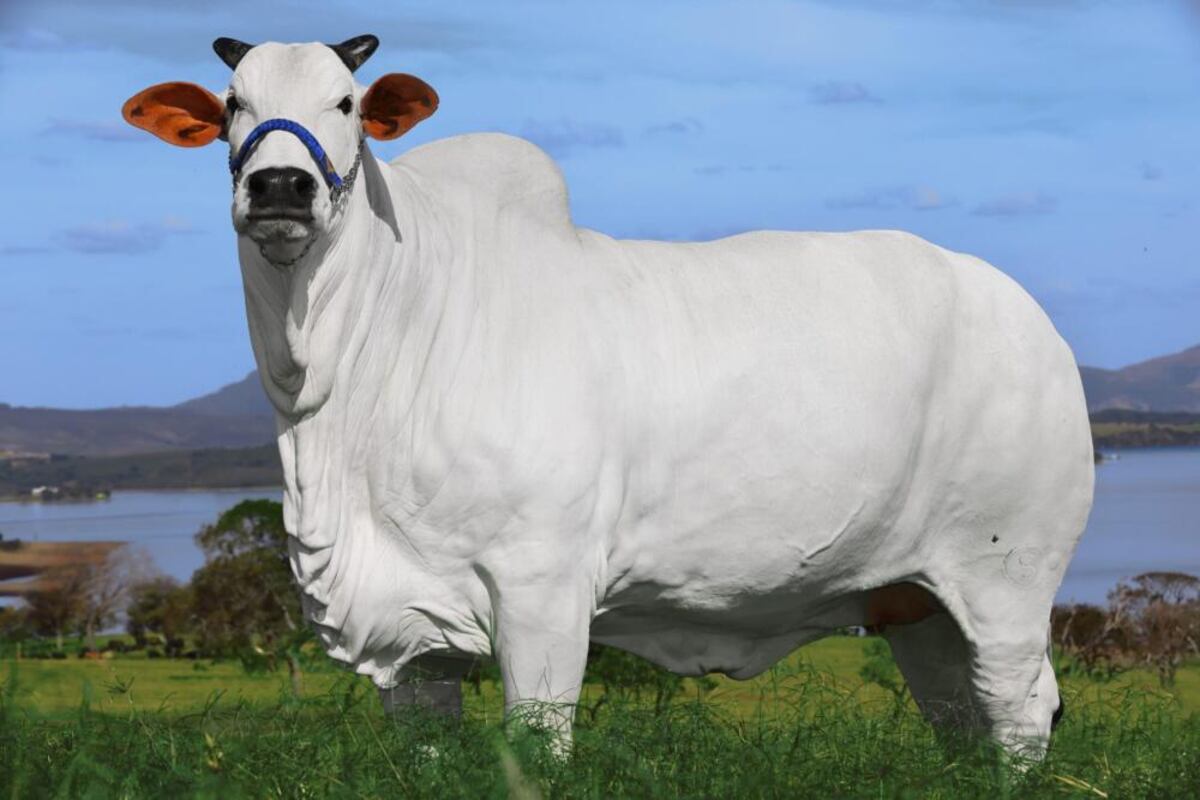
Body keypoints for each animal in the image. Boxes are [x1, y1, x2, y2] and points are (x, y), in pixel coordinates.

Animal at [122, 35, 1094, 758]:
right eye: (233, 105)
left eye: (348, 103)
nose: (281, 185)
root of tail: (1028, 318)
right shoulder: (412, 634)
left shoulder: (542, 590)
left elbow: (539, 745)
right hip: (919, 606)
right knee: (964, 721)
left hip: (1008, 581)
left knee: (1018, 720)